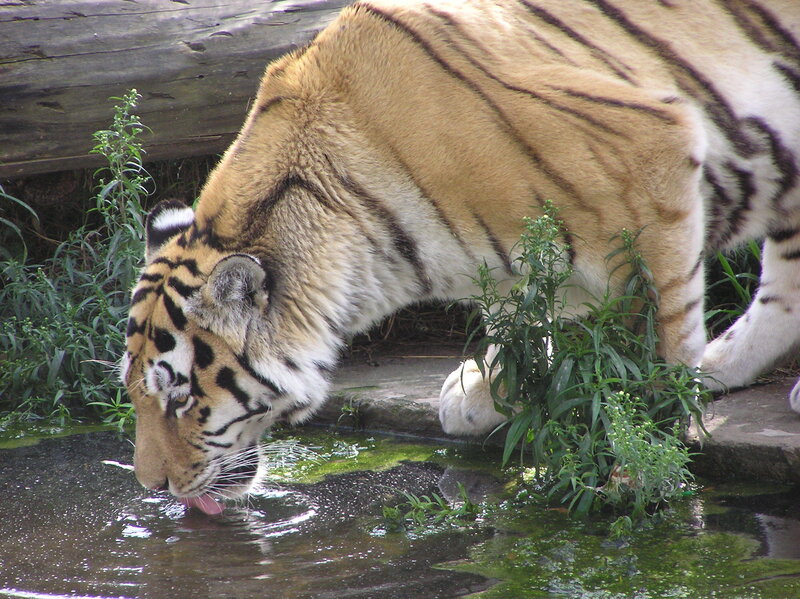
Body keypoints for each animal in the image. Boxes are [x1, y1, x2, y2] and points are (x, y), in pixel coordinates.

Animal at [123, 0, 800, 513]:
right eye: (133, 394)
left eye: (179, 399)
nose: (153, 486)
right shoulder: (509, 267)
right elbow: (517, 340)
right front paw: (480, 393)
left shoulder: (651, 163)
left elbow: (654, 356)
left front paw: (639, 473)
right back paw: (723, 367)